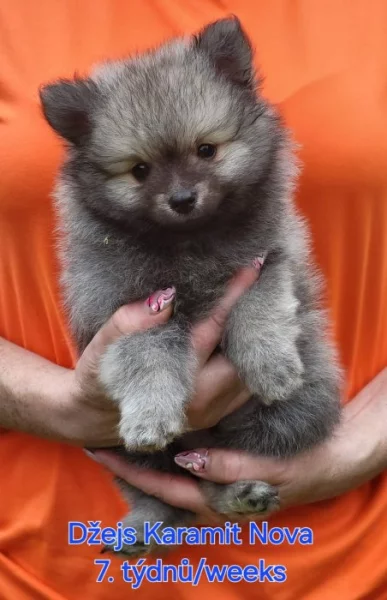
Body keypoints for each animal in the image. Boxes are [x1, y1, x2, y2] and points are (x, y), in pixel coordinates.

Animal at [40, 15, 342, 556]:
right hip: (110, 444)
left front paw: (270, 364)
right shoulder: (129, 309)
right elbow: (149, 356)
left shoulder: (269, 260)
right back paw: (147, 524)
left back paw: (240, 493)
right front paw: (150, 414)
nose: (182, 198)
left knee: (214, 474)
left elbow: (258, 305)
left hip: (290, 415)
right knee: (166, 490)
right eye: (139, 170)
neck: (190, 244)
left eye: (207, 150)